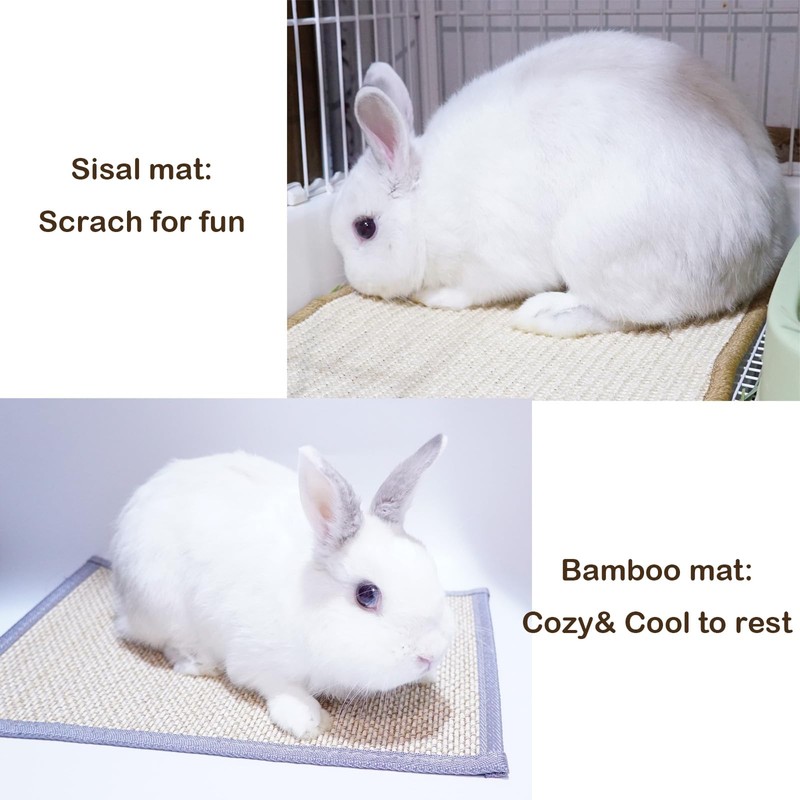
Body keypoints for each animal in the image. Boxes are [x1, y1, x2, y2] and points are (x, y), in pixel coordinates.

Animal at [110, 435, 453, 739]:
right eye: (367, 595)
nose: (431, 654)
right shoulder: (253, 659)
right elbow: (279, 686)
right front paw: (308, 720)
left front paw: (429, 677)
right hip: (163, 606)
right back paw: (198, 662)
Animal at [330, 30, 790, 337]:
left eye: (365, 228)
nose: (354, 281)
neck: (425, 205)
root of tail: (764, 250)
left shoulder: (489, 263)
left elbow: (469, 292)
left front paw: (435, 298)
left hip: (591, 245)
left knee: (620, 314)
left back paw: (542, 315)